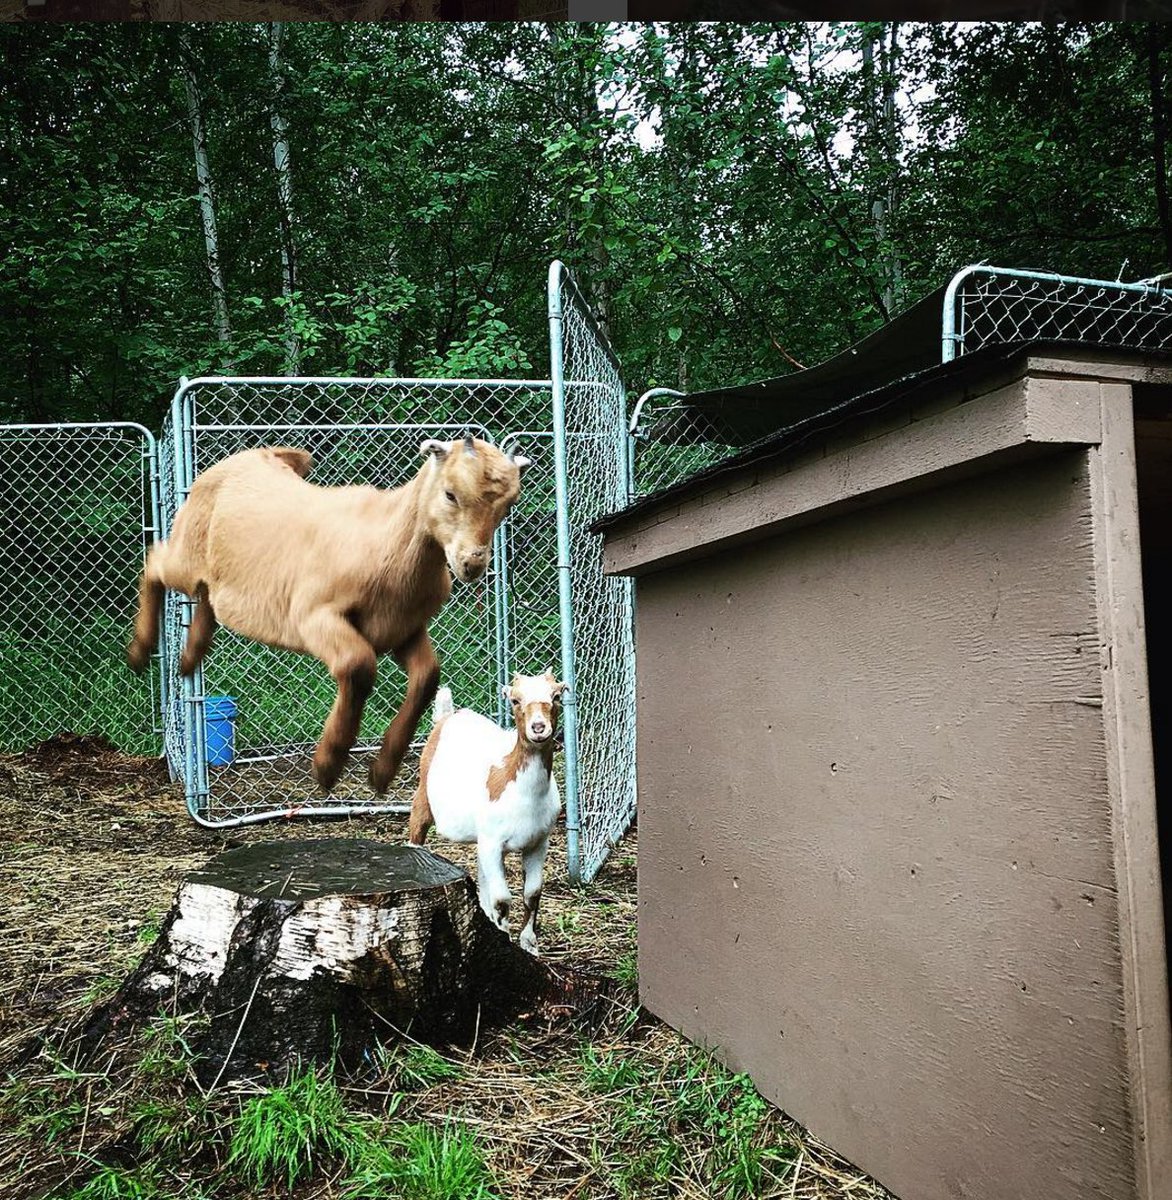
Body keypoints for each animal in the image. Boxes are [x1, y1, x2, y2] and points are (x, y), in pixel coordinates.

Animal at [127, 437, 529, 795]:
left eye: (508, 505)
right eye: (450, 494)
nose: (471, 564)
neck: (385, 543)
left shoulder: (404, 629)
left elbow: (427, 676)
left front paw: (381, 773)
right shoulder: (313, 615)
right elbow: (358, 664)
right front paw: (327, 765)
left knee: (207, 601)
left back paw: (187, 659)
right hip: (187, 553)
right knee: (155, 562)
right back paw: (138, 653)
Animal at [408, 671, 566, 955]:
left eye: (556, 696)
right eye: (515, 700)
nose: (538, 728)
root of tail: (448, 716)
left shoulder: (539, 841)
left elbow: (532, 893)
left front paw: (529, 945)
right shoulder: (493, 842)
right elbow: (502, 899)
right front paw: (504, 936)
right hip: (422, 797)